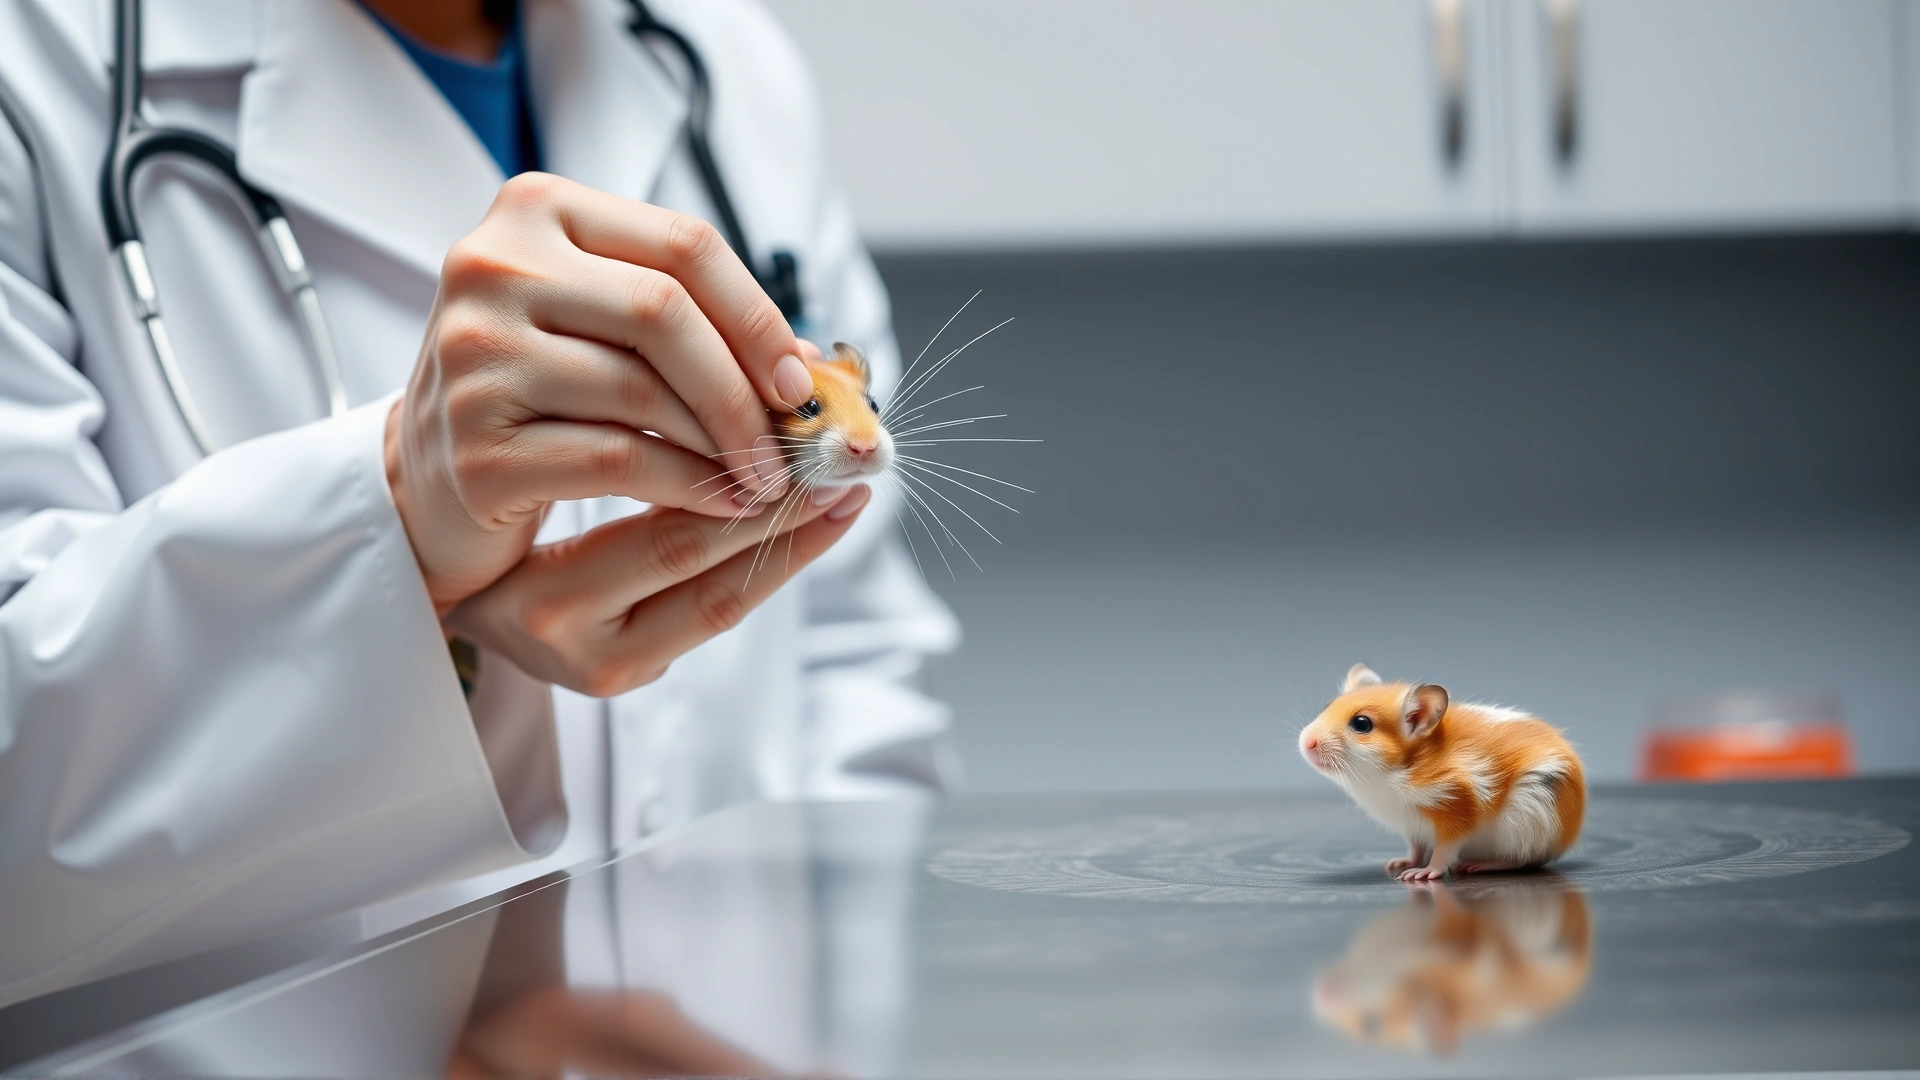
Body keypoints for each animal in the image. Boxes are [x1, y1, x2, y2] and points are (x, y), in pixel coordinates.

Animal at [1298, 664, 1585, 881]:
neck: (1395, 772)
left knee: (1526, 860)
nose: (1305, 742)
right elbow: (1416, 848)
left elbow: (1443, 851)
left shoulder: (1454, 808)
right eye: (1327, 707)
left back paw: (1478, 865)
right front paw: (1398, 864)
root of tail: (1568, 839)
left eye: (1361, 724)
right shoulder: (1412, 828)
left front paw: (1420, 874)